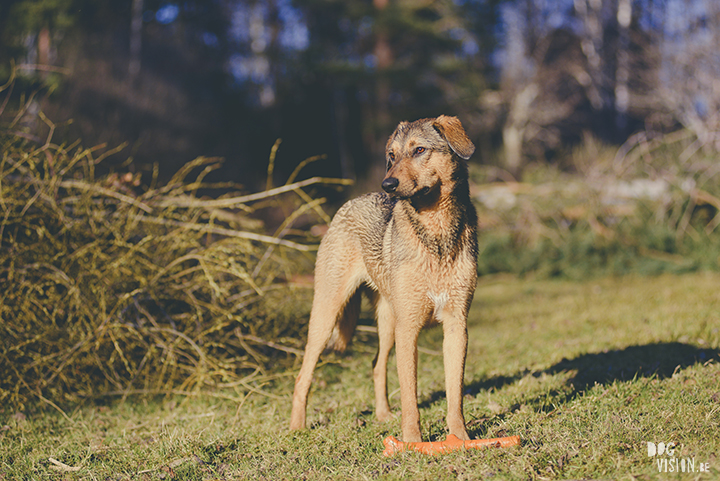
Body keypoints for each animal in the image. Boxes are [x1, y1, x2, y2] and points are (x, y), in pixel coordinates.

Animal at [286, 114, 478, 440]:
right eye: (392, 155)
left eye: (419, 150)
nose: (388, 184)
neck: (436, 235)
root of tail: (350, 203)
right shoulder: (409, 329)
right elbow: (411, 397)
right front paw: (413, 443)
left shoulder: (456, 326)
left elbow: (455, 395)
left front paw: (460, 440)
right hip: (327, 316)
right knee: (303, 376)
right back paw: (297, 427)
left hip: (388, 324)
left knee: (376, 365)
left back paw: (383, 415)